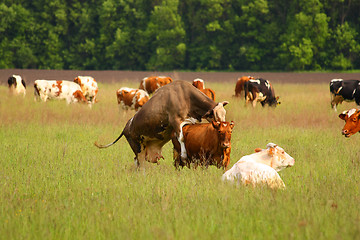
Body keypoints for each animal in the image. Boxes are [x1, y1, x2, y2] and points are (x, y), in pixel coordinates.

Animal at [93, 80, 228, 169]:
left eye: (224, 114)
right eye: (216, 115)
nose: (223, 124)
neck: (185, 96)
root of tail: (126, 127)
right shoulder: (175, 121)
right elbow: (181, 138)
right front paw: (184, 156)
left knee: (137, 161)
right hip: (138, 147)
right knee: (140, 162)